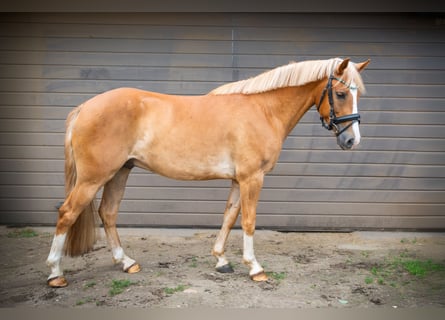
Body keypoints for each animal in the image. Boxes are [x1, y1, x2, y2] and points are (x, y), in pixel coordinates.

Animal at [46, 57, 370, 288]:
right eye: (341, 93)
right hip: (94, 177)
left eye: (357, 95)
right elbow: (249, 221)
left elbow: (229, 216)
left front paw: (221, 261)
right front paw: (255, 268)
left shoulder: (239, 180)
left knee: (108, 213)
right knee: (67, 213)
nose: (352, 141)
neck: (263, 109)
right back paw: (55, 274)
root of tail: (84, 107)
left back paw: (126, 262)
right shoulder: (253, 178)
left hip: (119, 172)